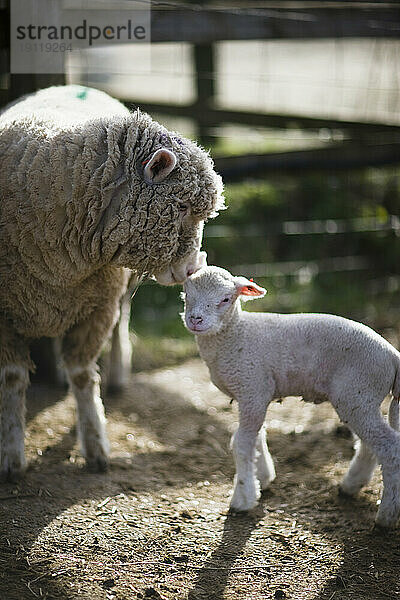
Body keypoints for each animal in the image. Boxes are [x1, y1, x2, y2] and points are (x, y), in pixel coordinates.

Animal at [0, 84, 225, 480]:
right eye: (182, 207)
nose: (191, 269)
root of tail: (73, 86)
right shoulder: (4, 313)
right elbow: (12, 379)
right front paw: (12, 456)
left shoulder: (100, 305)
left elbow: (83, 375)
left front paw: (95, 445)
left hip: (118, 290)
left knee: (122, 323)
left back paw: (118, 373)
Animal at [183, 264, 400, 528]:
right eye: (186, 293)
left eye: (225, 299)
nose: (195, 319)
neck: (236, 334)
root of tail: (393, 356)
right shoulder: (253, 394)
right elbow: (257, 436)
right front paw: (263, 477)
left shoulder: (253, 387)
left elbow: (242, 443)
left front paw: (243, 499)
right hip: (358, 399)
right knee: (369, 444)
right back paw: (350, 486)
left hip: (359, 392)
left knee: (389, 448)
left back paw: (386, 516)